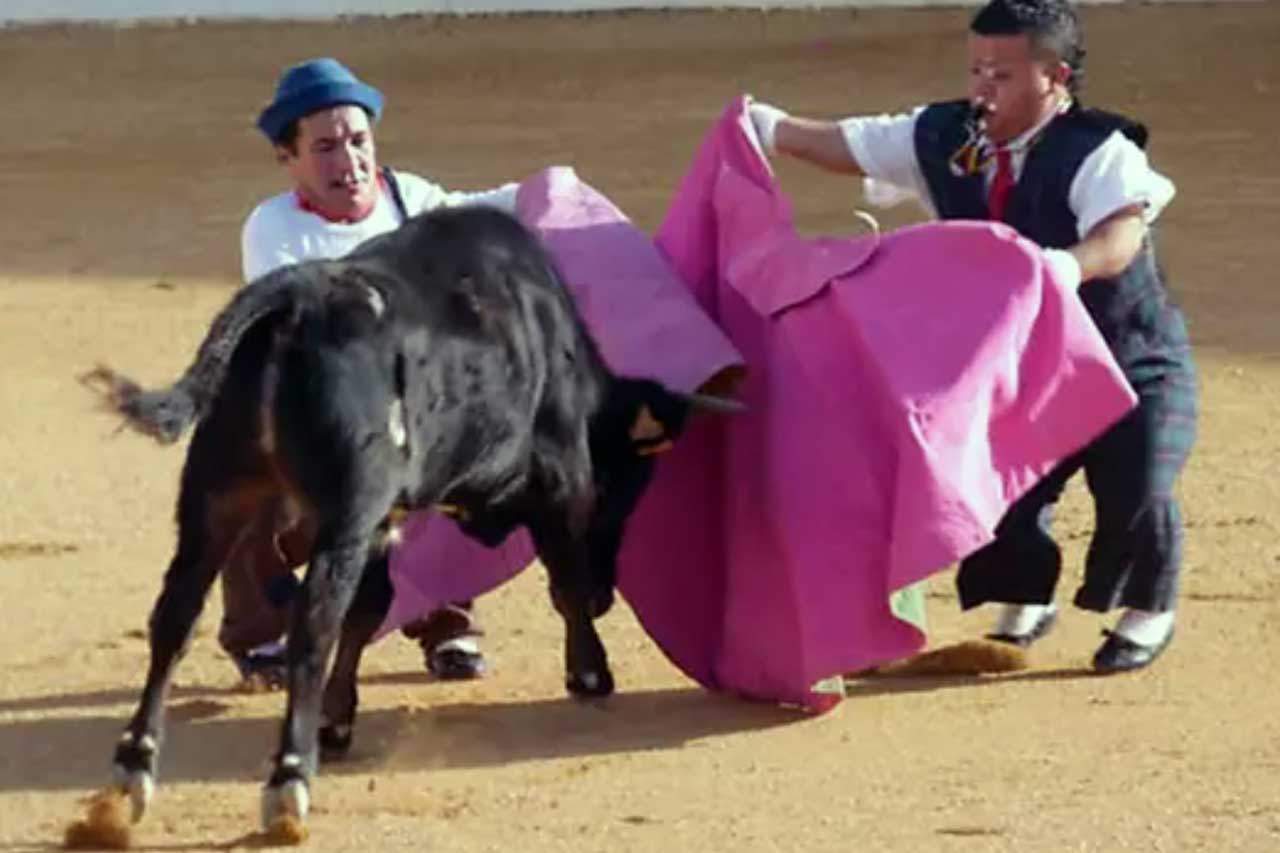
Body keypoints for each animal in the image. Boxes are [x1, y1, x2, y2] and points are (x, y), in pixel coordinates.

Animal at [85, 206, 737, 829]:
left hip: (216, 494)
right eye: (624, 490)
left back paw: (133, 771)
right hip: (340, 508)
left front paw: (337, 721)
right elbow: (564, 584)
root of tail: (299, 297)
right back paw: (289, 781)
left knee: (176, 615)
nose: (610, 596)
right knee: (310, 625)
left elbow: (370, 609)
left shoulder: (384, 522)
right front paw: (590, 674)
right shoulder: (559, 481)